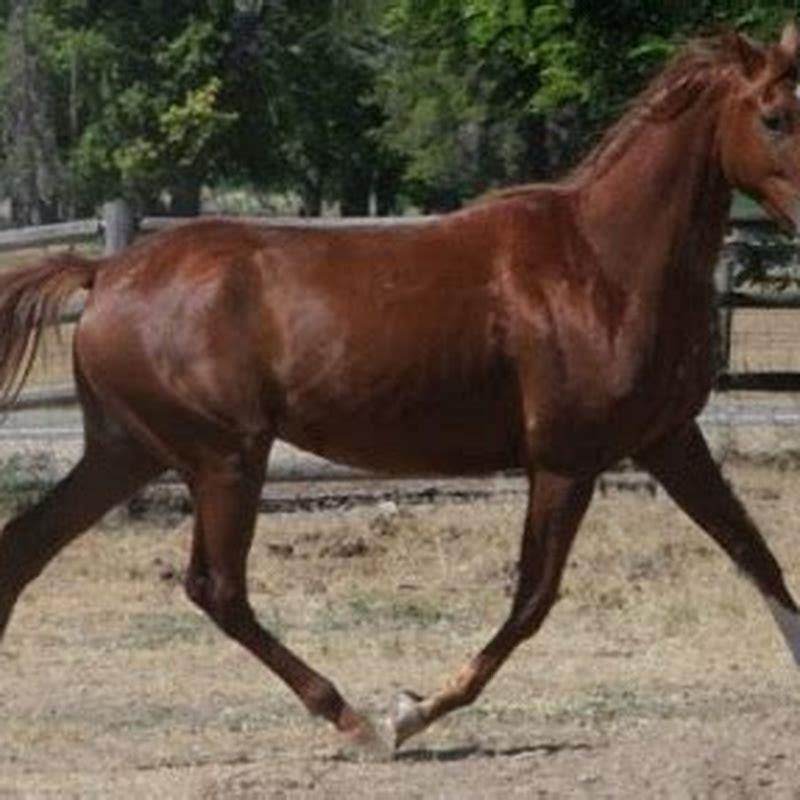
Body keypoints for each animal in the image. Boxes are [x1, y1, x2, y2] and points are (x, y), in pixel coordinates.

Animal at [2, 24, 800, 754]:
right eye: (772, 115)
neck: (602, 265)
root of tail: (105, 274)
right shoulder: (565, 462)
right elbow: (532, 598)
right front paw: (410, 713)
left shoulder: (670, 441)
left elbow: (756, 556)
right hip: (225, 457)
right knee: (217, 589)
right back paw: (353, 721)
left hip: (127, 451)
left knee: (26, 547)